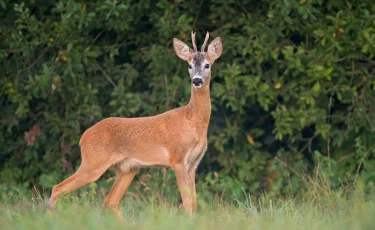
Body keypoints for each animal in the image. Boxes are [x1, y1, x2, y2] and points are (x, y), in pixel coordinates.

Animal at [47, 31, 223, 217]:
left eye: (207, 65)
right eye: (189, 65)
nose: (196, 80)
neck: (192, 122)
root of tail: (83, 137)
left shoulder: (193, 164)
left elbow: (194, 203)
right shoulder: (177, 158)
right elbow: (187, 202)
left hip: (127, 169)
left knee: (110, 201)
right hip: (93, 162)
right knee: (58, 188)